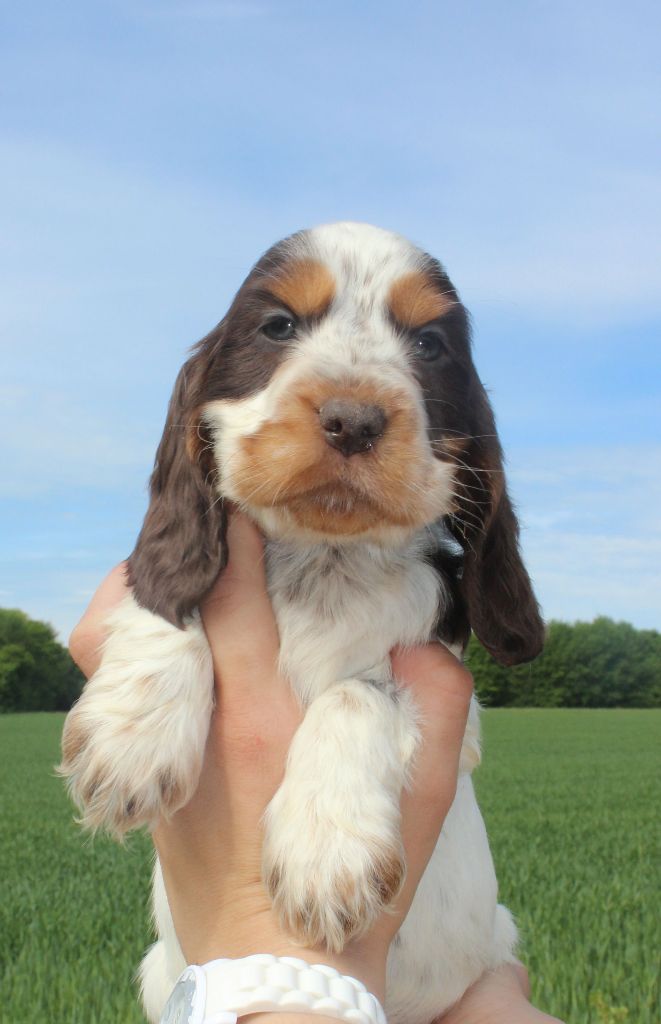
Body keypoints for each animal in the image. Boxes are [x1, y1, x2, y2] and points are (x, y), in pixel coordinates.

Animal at [60, 221, 544, 1024]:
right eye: (278, 326)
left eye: (429, 345)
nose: (353, 419)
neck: (327, 558)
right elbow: (169, 592)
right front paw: (129, 740)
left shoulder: (456, 706)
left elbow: (358, 692)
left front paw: (326, 856)